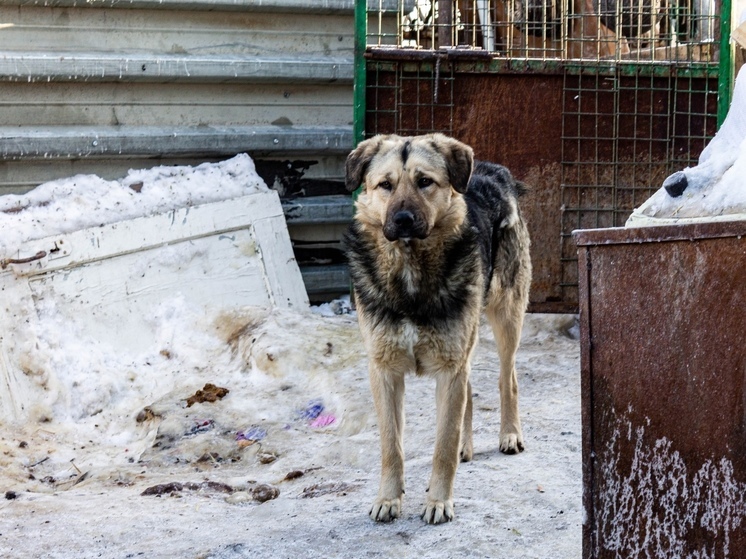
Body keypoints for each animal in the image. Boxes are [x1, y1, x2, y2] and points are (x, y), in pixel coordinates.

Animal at [342, 135, 528, 524]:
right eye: (385, 185)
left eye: (425, 181)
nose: (403, 220)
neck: (410, 269)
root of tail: (493, 170)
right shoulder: (384, 370)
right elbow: (391, 445)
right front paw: (388, 498)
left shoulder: (450, 368)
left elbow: (443, 442)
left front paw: (439, 502)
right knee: (470, 391)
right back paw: (467, 446)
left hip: (506, 315)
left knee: (508, 379)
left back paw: (509, 434)